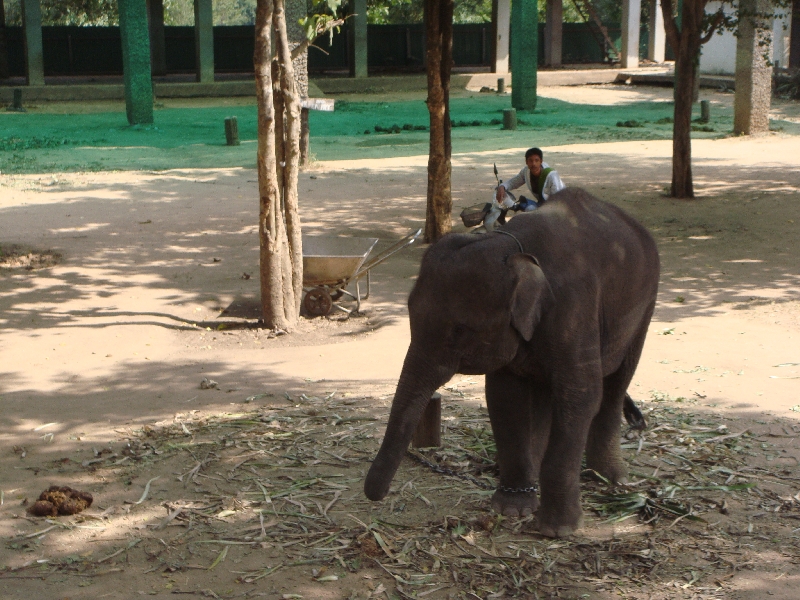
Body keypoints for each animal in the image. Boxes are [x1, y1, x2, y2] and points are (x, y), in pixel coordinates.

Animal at [366, 189, 660, 540]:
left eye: (460, 331)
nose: (375, 496)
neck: (512, 246)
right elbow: (506, 397)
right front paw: (511, 509)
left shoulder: (574, 308)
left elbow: (580, 396)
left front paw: (557, 530)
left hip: (646, 304)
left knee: (616, 382)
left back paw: (609, 479)